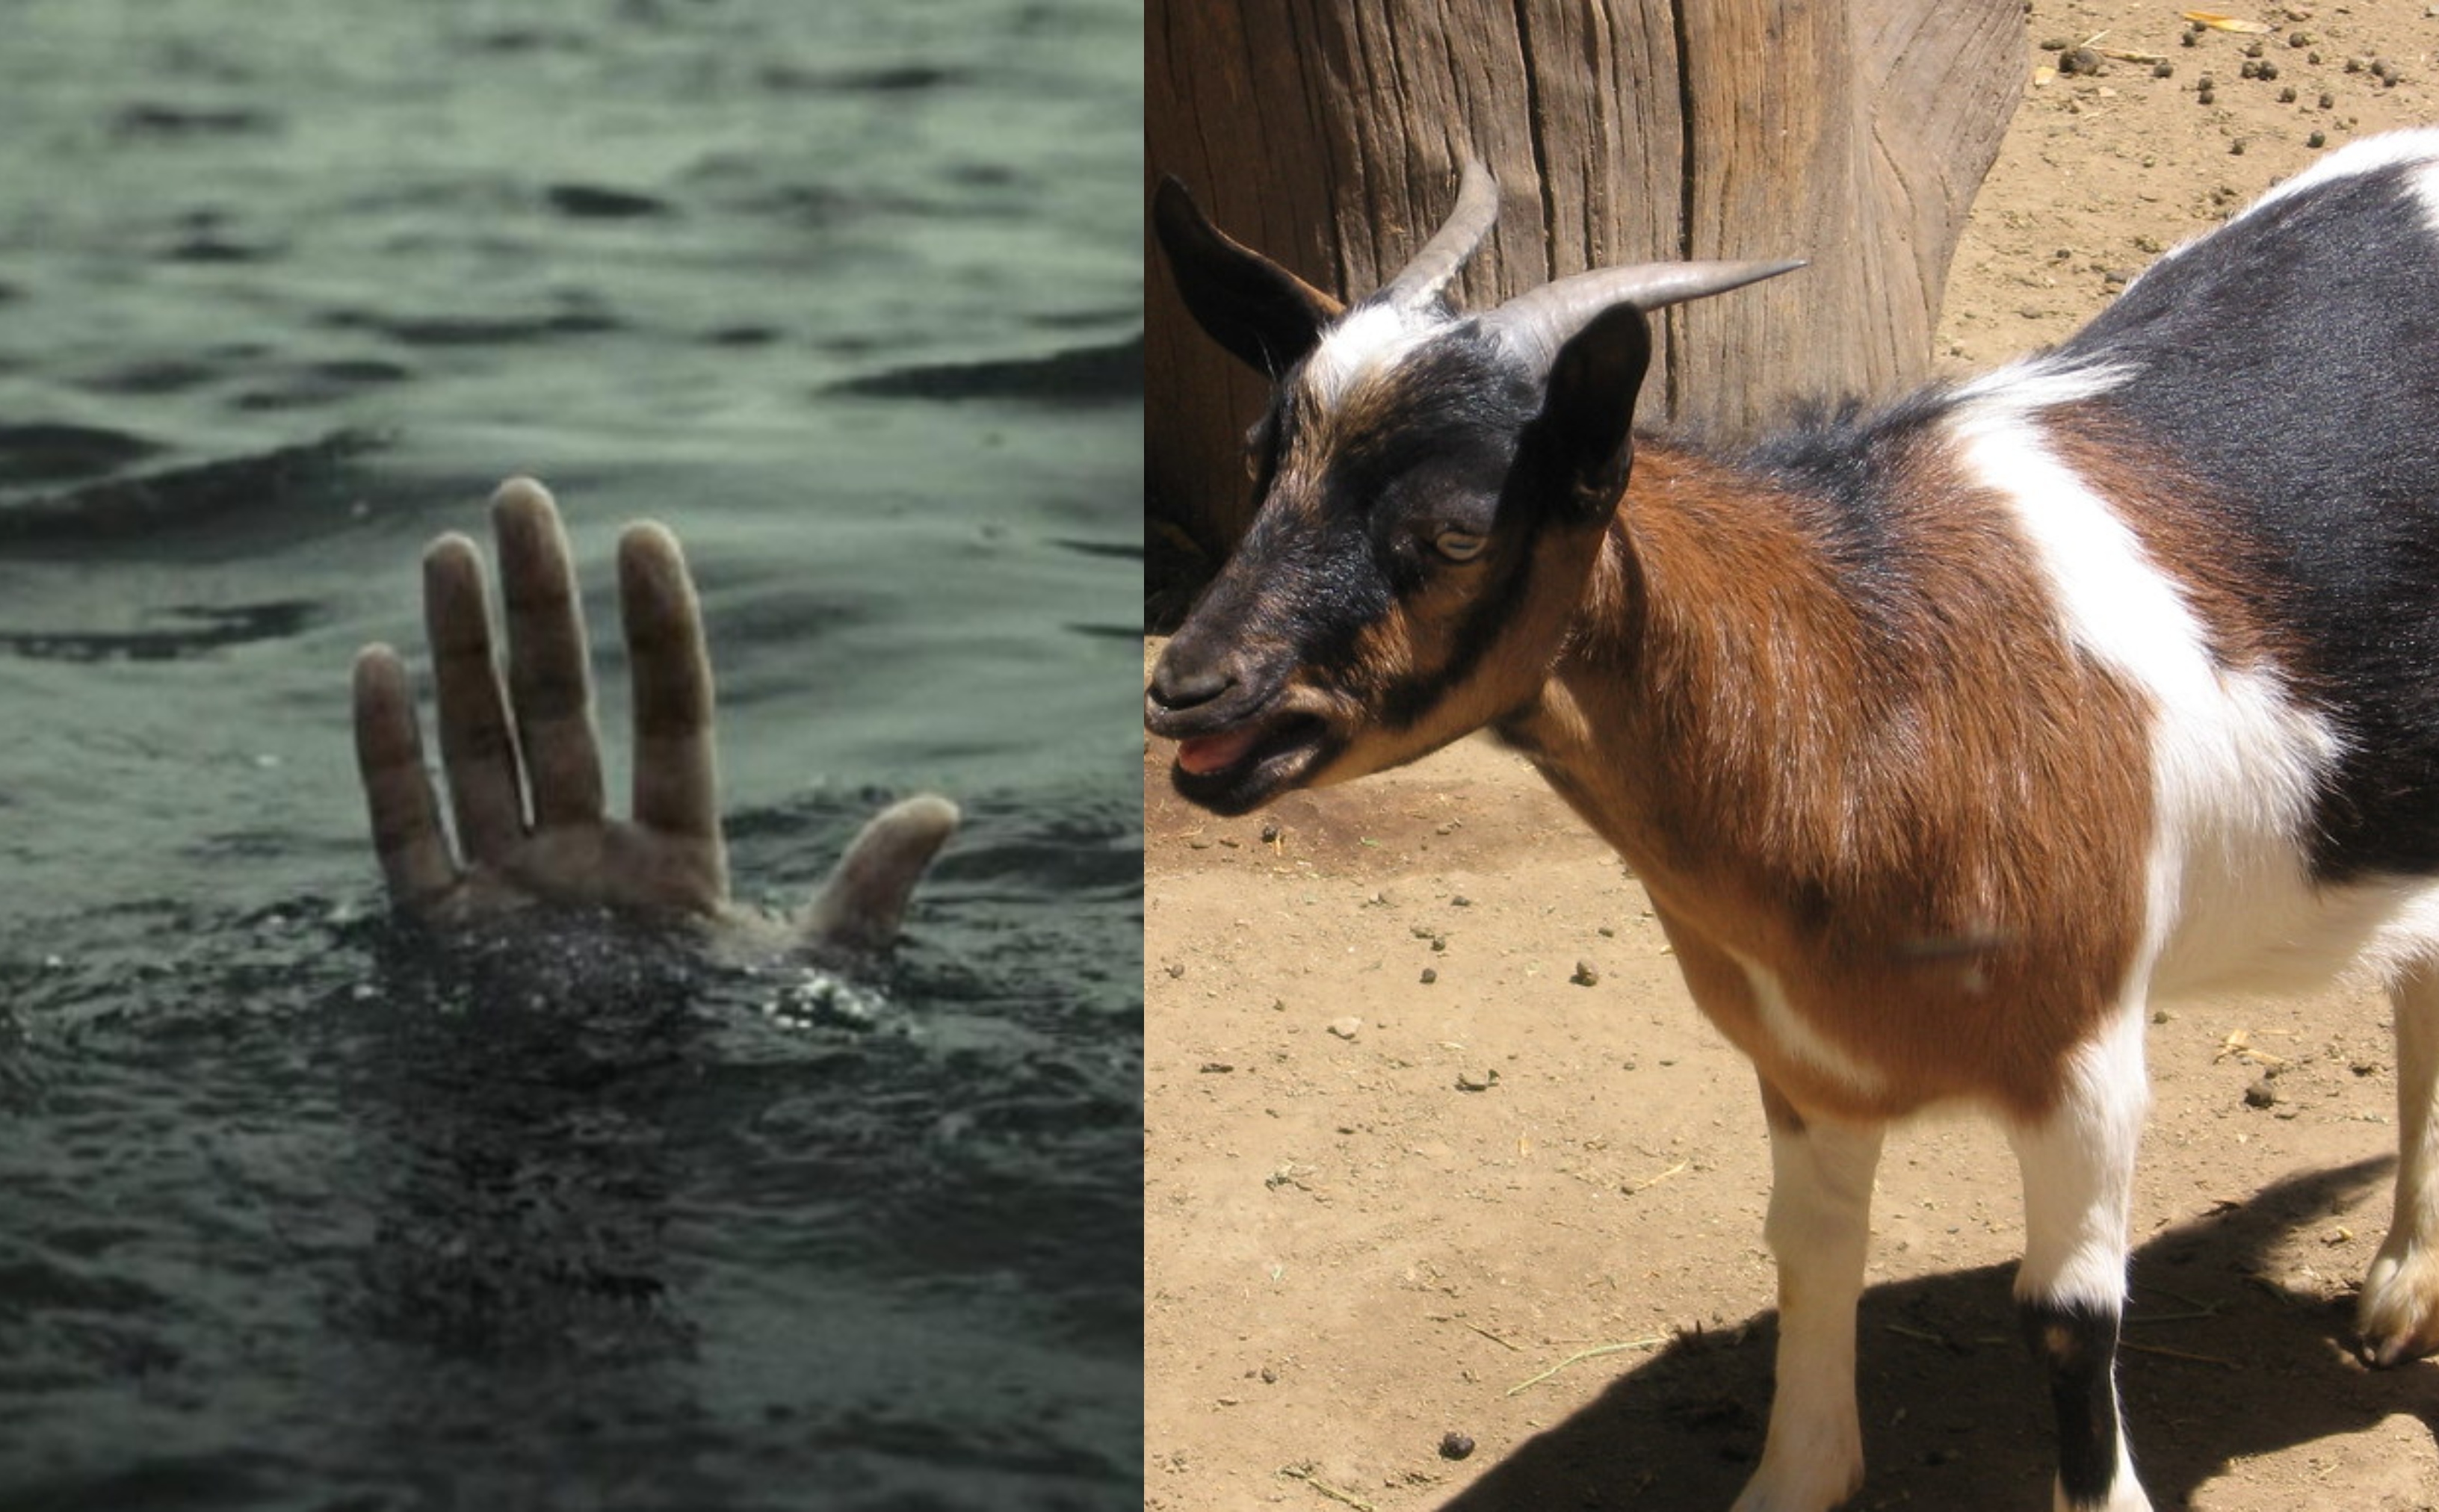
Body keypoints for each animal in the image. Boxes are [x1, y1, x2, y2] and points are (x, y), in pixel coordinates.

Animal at [1145, 132, 2439, 1512]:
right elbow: (1811, 1251)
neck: (1869, 687)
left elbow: (2065, 1320)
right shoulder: (1803, 1055)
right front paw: (1800, 1473)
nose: (1191, 686)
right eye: (1257, 454)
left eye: (1454, 532)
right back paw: (2401, 1291)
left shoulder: (2084, 1053)